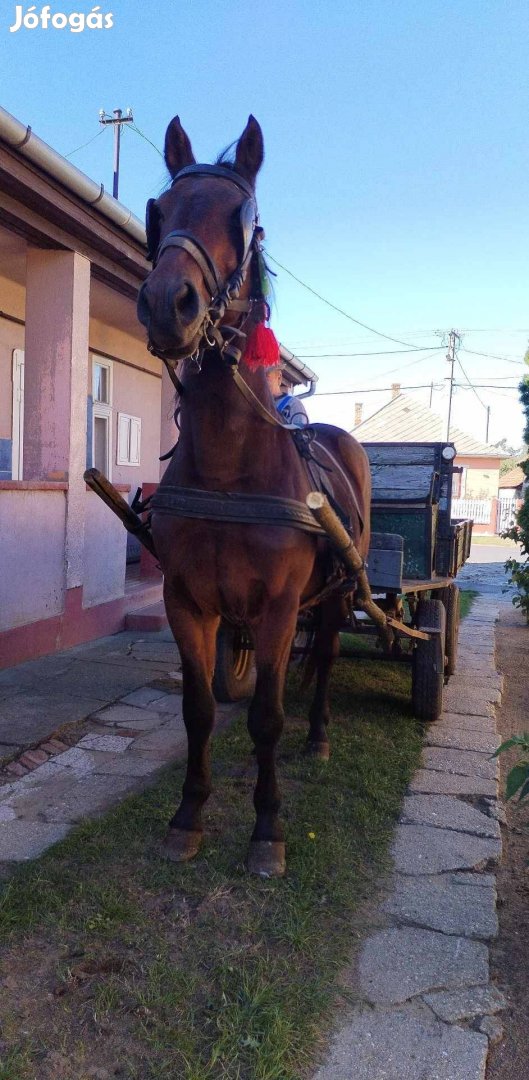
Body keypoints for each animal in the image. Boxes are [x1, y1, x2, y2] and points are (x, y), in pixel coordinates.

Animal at [138, 116, 369, 876]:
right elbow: (200, 711)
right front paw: (188, 815)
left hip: (334, 592)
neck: (228, 470)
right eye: (160, 213)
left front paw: (266, 830)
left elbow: (266, 715)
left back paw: (318, 734)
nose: (166, 303)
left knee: (324, 657)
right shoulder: (186, 600)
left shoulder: (277, 607)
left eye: (243, 221)